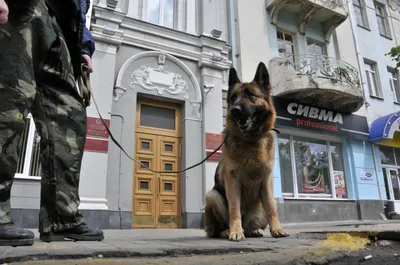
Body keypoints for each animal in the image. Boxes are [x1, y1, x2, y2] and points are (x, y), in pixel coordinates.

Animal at [205, 62, 290, 241]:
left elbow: (272, 208)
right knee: (215, 230)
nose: (235, 110)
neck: (251, 140)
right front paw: (236, 232)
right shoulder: (232, 181)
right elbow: (234, 209)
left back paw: (254, 230)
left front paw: (277, 229)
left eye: (250, 95)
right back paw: (228, 231)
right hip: (212, 196)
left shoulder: (267, 181)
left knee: (256, 221)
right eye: (233, 98)